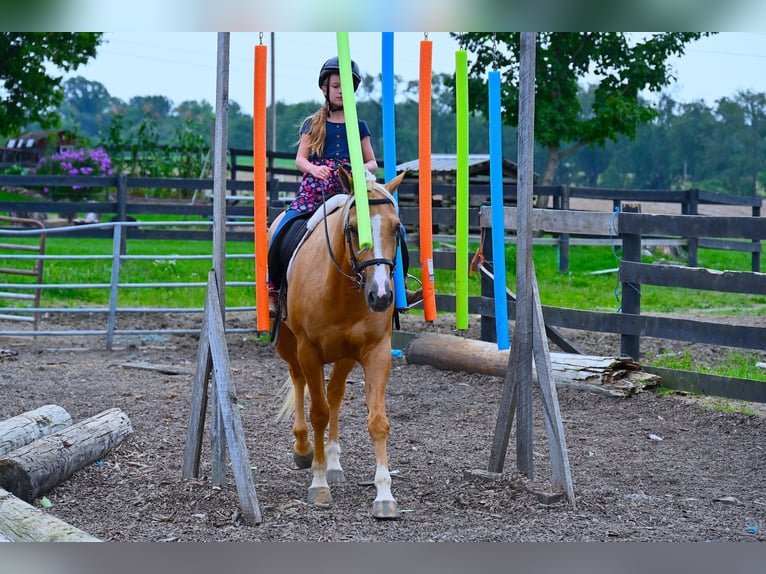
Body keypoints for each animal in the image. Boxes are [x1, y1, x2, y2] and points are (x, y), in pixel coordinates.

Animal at [268, 168, 404, 520]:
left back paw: (332, 461)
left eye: (396, 228)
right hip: (288, 345)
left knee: (335, 396)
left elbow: (377, 421)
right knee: (299, 381)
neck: (341, 289)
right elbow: (317, 412)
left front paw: (384, 494)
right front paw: (318, 485)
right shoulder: (308, 350)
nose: (381, 295)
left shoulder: (376, 351)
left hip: (344, 356)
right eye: (354, 228)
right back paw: (303, 448)